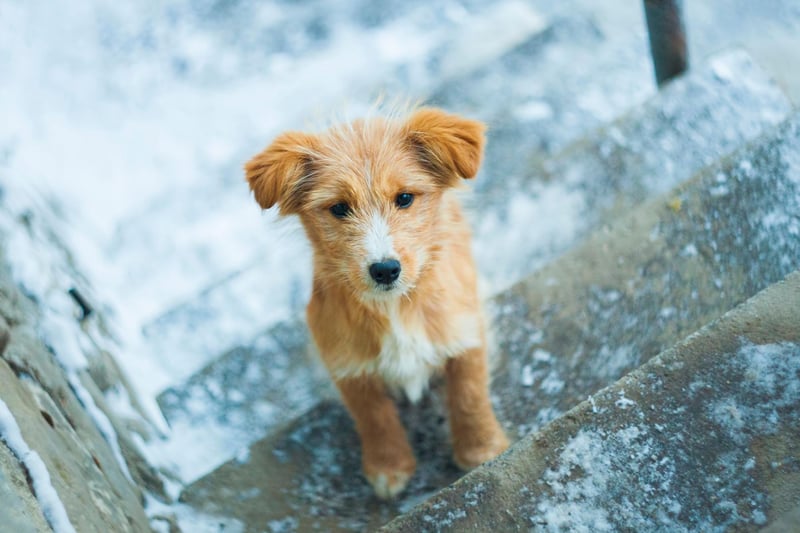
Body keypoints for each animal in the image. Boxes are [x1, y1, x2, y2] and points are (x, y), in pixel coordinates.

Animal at [245, 108, 506, 498]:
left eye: (404, 198)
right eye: (339, 208)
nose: (385, 269)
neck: (395, 307)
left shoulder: (465, 328)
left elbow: (469, 392)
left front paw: (480, 448)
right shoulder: (346, 362)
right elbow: (373, 416)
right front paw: (389, 466)